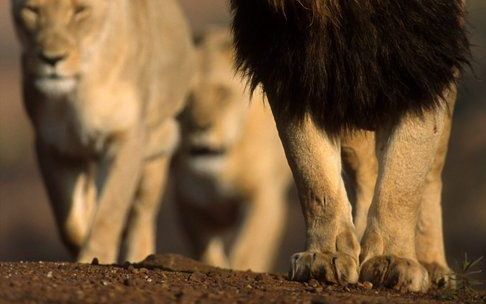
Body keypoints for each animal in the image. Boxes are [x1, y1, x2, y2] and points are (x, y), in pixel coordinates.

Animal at [10, 0, 195, 264]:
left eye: (80, 11)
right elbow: (69, 221)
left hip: (159, 147)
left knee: (142, 215)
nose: (51, 59)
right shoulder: (53, 145)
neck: (78, 91)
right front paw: (83, 236)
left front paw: (95, 257)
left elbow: (109, 211)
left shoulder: (127, 137)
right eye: (33, 10)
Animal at [172, 27, 292, 270]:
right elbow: (206, 249)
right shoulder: (188, 202)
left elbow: (249, 248)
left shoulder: (265, 196)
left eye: (222, 93)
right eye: (187, 95)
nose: (200, 127)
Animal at [232, 0, 470, 292]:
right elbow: (314, 177)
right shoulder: (296, 68)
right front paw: (324, 256)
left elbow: (403, 186)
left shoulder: (423, 64)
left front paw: (394, 259)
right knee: (367, 172)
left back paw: (433, 266)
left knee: (431, 177)